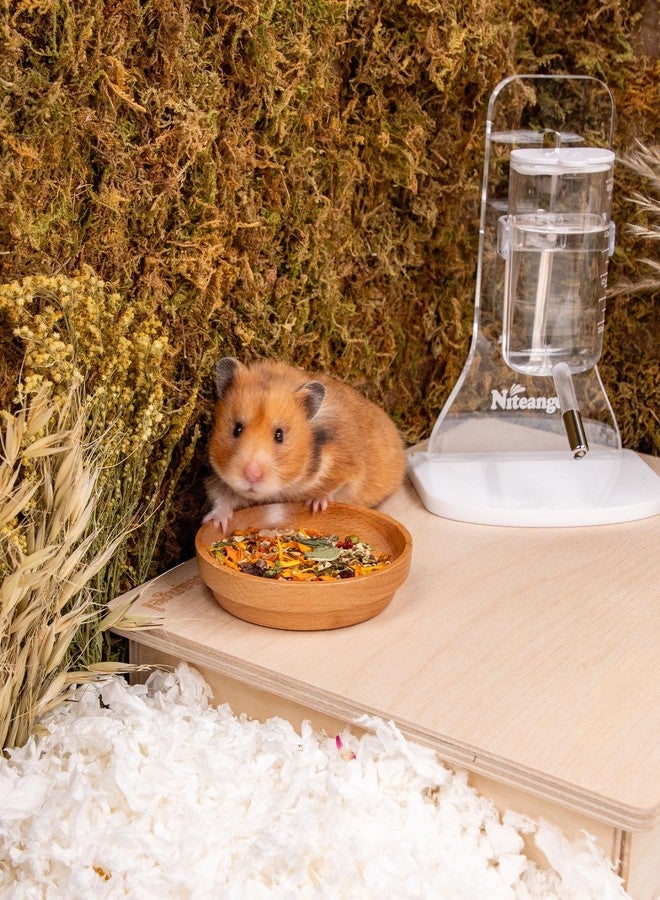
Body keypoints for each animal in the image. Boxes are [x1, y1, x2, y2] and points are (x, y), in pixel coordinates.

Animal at [204, 357, 406, 532]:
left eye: (279, 435)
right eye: (236, 429)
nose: (251, 476)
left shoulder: (348, 470)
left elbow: (336, 489)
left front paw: (316, 505)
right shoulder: (219, 478)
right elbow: (221, 497)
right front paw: (216, 524)